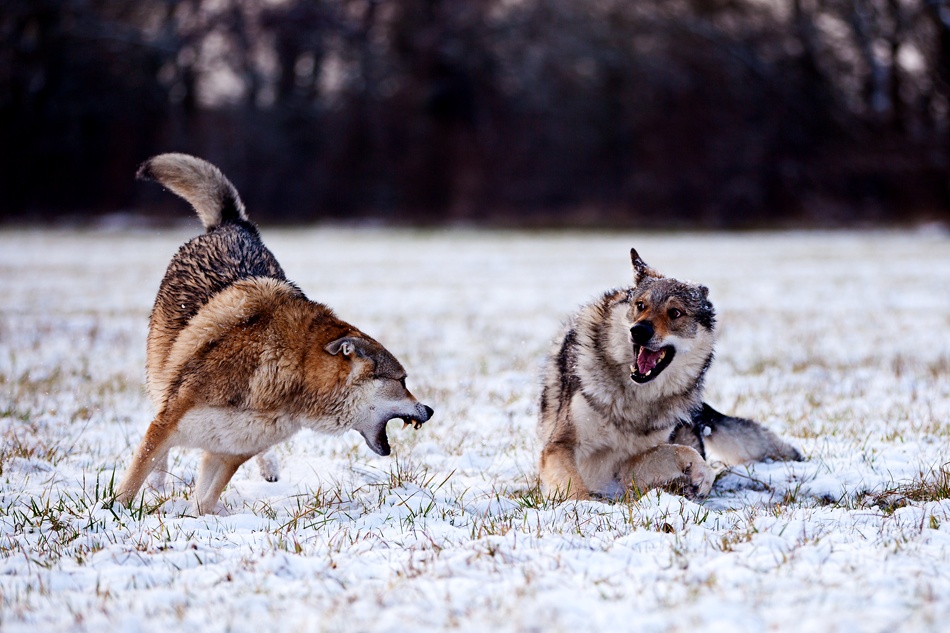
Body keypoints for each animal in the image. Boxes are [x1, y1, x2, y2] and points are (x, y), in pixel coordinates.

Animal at [114, 153, 436, 512]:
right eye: (402, 381)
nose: (429, 410)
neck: (285, 383)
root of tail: (233, 224)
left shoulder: (228, 451)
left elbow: (205, 502)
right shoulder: (167, 426)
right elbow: (132, 482)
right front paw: (111, 513)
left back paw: (270, 469)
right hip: (161, 376)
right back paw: (158, 484)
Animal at [540, 247, 800, 498]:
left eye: (675, 312)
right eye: (640, 306)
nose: (639, 330)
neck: (635, 399)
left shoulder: (621, 468)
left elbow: (683, 452)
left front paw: (701, 476)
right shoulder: (560, 447)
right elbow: (576, 490)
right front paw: (586, 506)